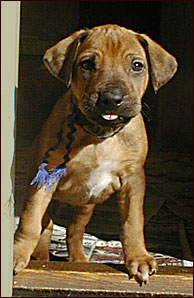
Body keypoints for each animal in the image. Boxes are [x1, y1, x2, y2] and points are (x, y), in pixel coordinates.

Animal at [14, 24, 177, 286]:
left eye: (137, 65)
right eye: (87, 64)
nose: (112, 99)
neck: (100, 135)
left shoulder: (133, 180)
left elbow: (133, 222)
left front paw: (139, 257)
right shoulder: (45, 176)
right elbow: (30, 221)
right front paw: (17, 253)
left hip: (85, 205)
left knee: (74, 229)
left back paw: (78, 260)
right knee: (45, 227)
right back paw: (41, 258)